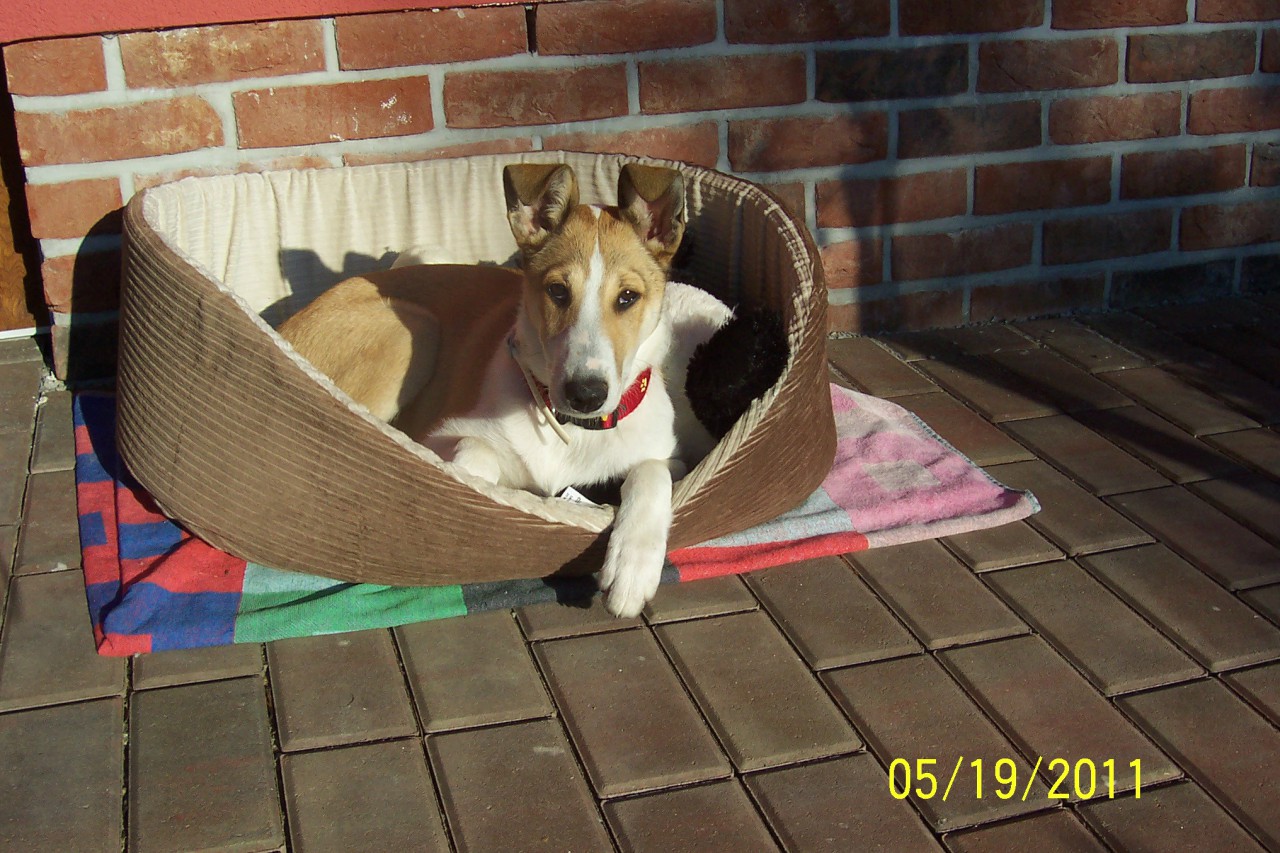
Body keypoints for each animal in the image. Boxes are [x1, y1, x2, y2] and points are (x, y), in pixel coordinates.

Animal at [279, 163, 729, 617]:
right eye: (557, 291)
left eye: (628, 297)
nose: (585, 394)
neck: (573, 429)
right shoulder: (438, 434)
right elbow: (473, 454)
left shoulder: (672, 460)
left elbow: (651, 472)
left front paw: (631, 568)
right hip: (413, 329)